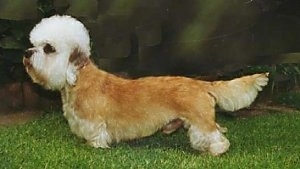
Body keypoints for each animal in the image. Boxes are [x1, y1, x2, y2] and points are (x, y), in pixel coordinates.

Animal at [22, 15, 268, 156]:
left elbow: (97, 135)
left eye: (48, 48)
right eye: (34, 44)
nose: (26, 53)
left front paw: (94, 146)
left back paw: (215, 151)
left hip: (200, 121)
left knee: (217, 135)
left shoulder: (94, 122)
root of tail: (201, 84)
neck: (79, 80)